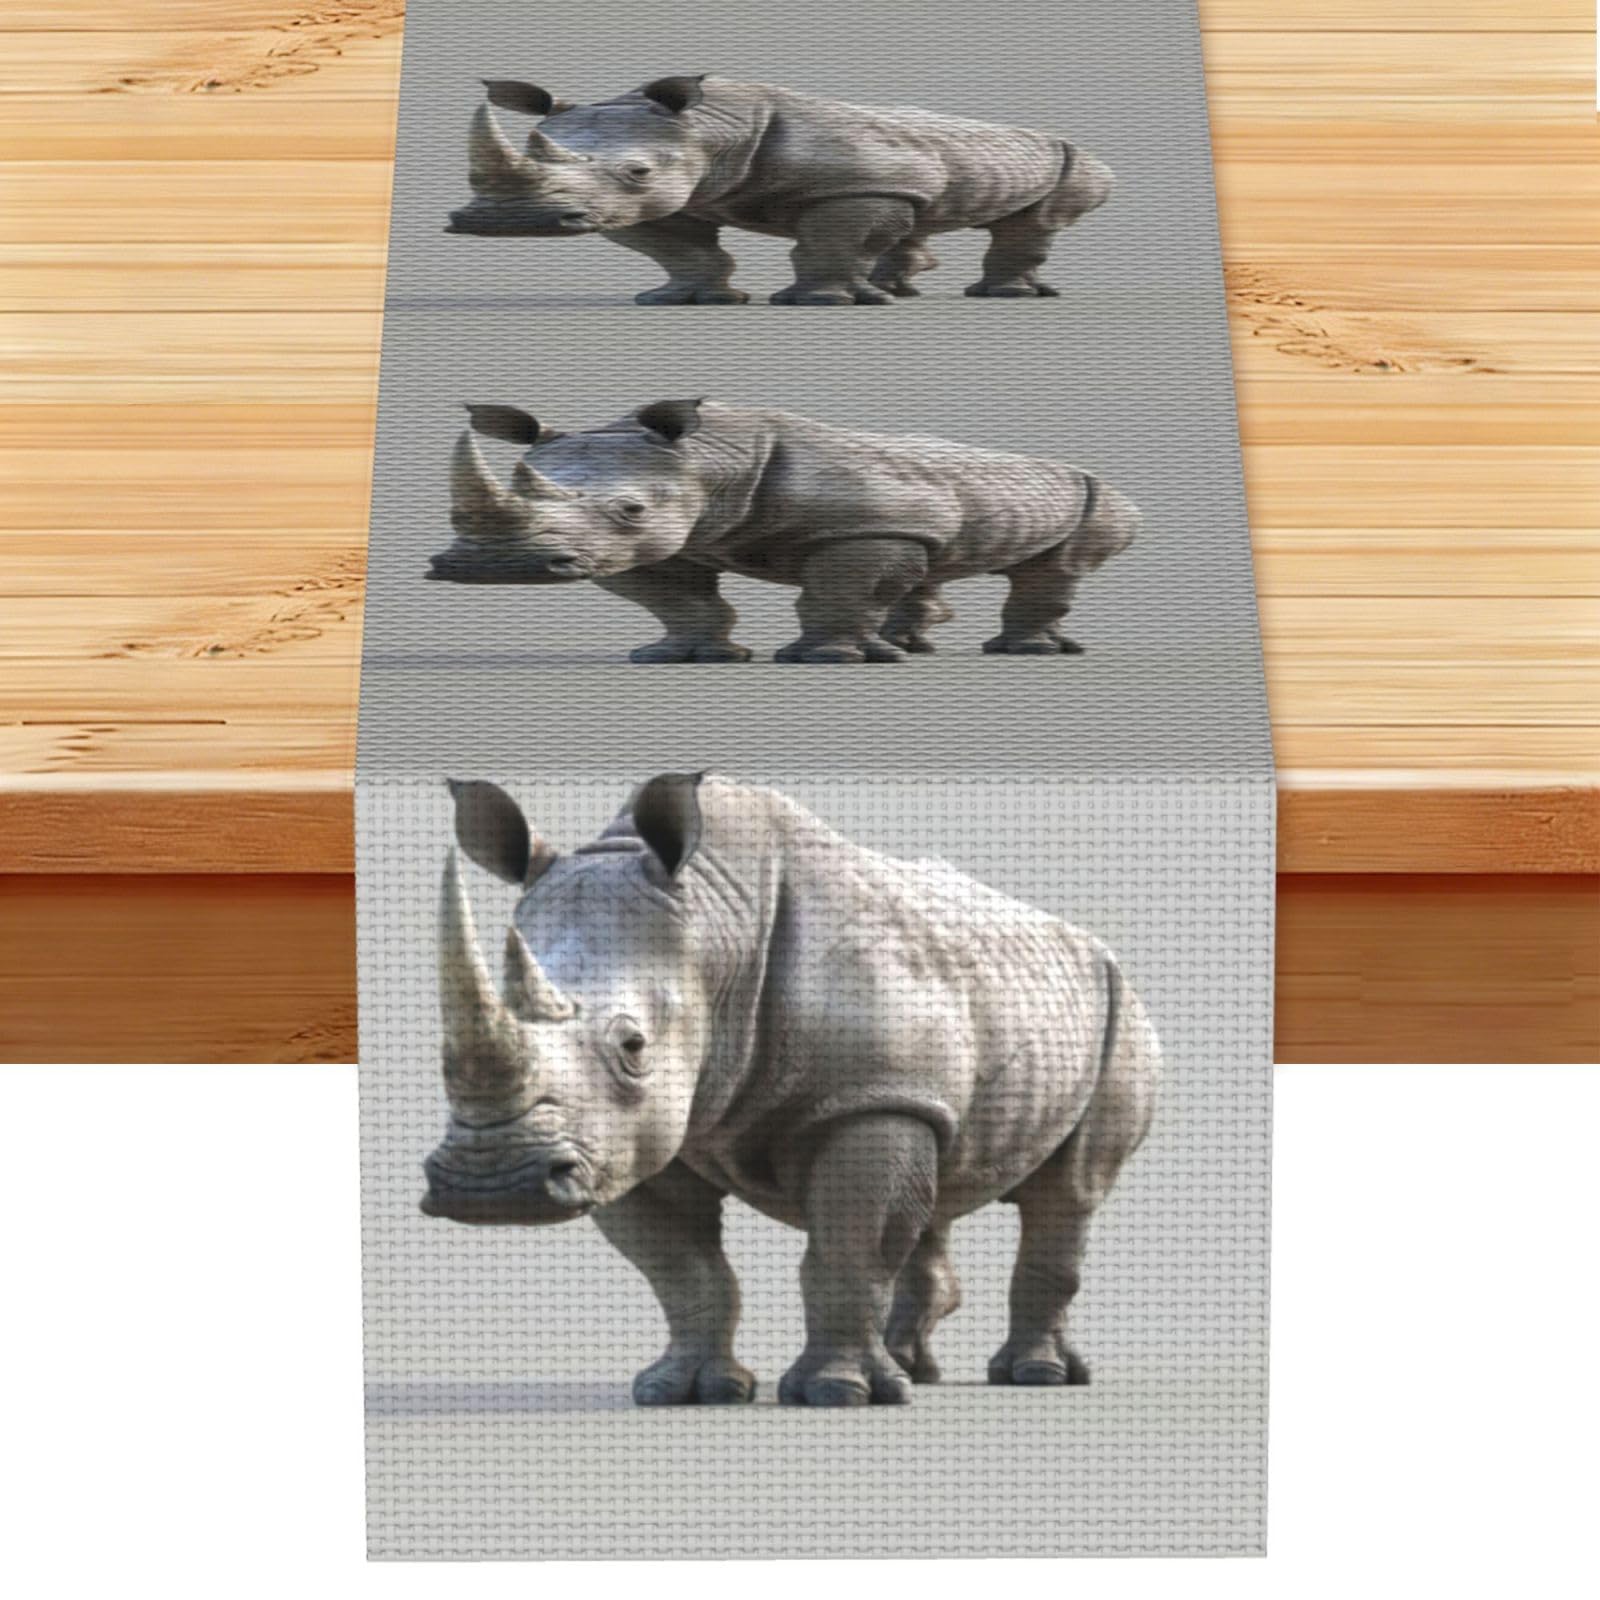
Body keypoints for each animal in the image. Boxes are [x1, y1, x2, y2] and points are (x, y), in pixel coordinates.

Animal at [421, 772, 1161, 1406]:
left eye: (633, 1047)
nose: (490, 1188)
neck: (715, 932)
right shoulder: (628, 1137)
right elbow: (682, 1266)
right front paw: (683, 1390)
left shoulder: (866, 1098)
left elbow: (848, 1246)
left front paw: (838, 1392)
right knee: (939, 1179)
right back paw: (914, 1368)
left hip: (1121, 1009)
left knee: (1068, 1193)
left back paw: (1035, 1376)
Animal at [429, 398, 1140, 663]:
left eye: (631, 509)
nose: (491, 569)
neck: (705, 461)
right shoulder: (664, 538)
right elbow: (675, 598)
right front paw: (682, 657)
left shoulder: (861, 527)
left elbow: (841, 589)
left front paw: (830, 660)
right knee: (931, 559)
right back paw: (912, 644)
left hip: (1098, 495)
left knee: (1055, 567)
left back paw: (1026, 653)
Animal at [444, 75, 1114, 304]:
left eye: (638, 171)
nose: (507, 224)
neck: (707, 131)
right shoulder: (666, 195)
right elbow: (680, 247)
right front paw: (684, 301)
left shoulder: (852, 185)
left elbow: (829, 242)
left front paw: (821, 304)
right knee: (917, 214)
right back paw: (900, 288)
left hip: (1075, 159)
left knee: (1034, 221)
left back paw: (1004, 297)